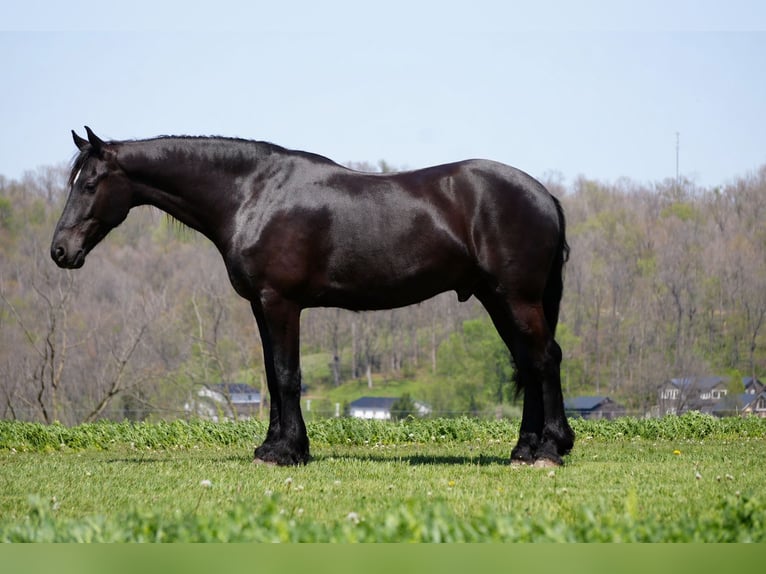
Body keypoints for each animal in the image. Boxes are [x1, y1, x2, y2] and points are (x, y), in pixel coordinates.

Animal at [51, 127, 574, 467]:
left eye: (91, 183)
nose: (60, 251)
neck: (252, 194)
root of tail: (544, 196)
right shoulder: (260, 305)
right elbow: (270, 375)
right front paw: (273, 447)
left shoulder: (281, 302)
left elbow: (287, 375)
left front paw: (286, 452)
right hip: (497, 299)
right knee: (529, 363)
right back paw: (524, 449)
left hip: (517, 298)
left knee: (544, 359)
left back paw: (549, 450)